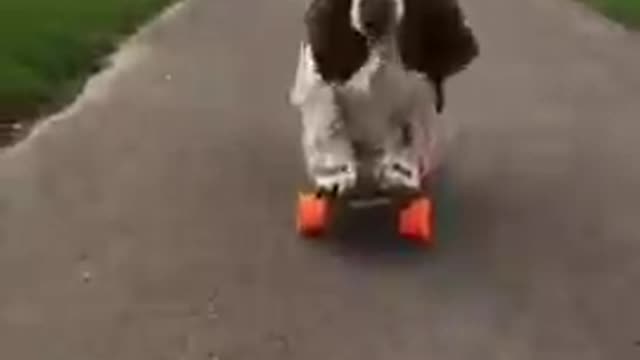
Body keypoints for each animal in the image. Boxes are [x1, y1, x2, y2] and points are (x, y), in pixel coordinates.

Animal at [288, 0, 476, 193]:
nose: (375, 9)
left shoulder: (420, 85)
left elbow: (409, 130)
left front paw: (401, 170)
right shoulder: (318, 83)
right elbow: (328, 122)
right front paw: (334, 176)